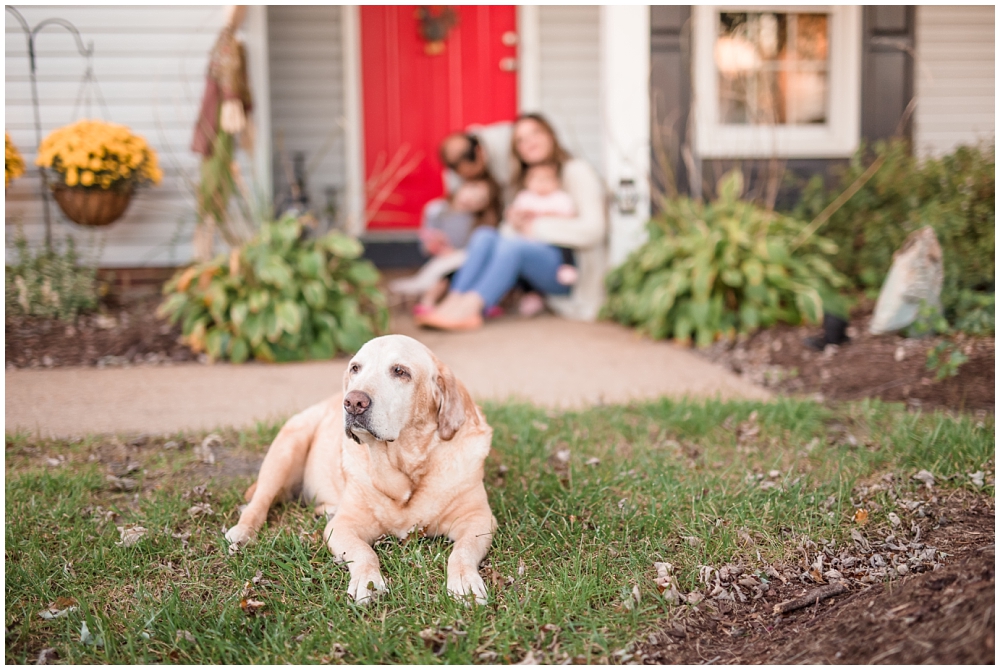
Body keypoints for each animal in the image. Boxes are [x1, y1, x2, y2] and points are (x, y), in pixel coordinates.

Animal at [224, 336, 496, 608]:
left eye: (400, 371)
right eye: (355, 368)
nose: (353, 402)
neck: (404, 470)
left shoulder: (478, 518)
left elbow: (462, 551)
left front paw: (464, 582)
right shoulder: (343, 526)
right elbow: (364, 552)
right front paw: (368, 582)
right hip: (286, 449)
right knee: (259, 501)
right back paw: (242, 532)